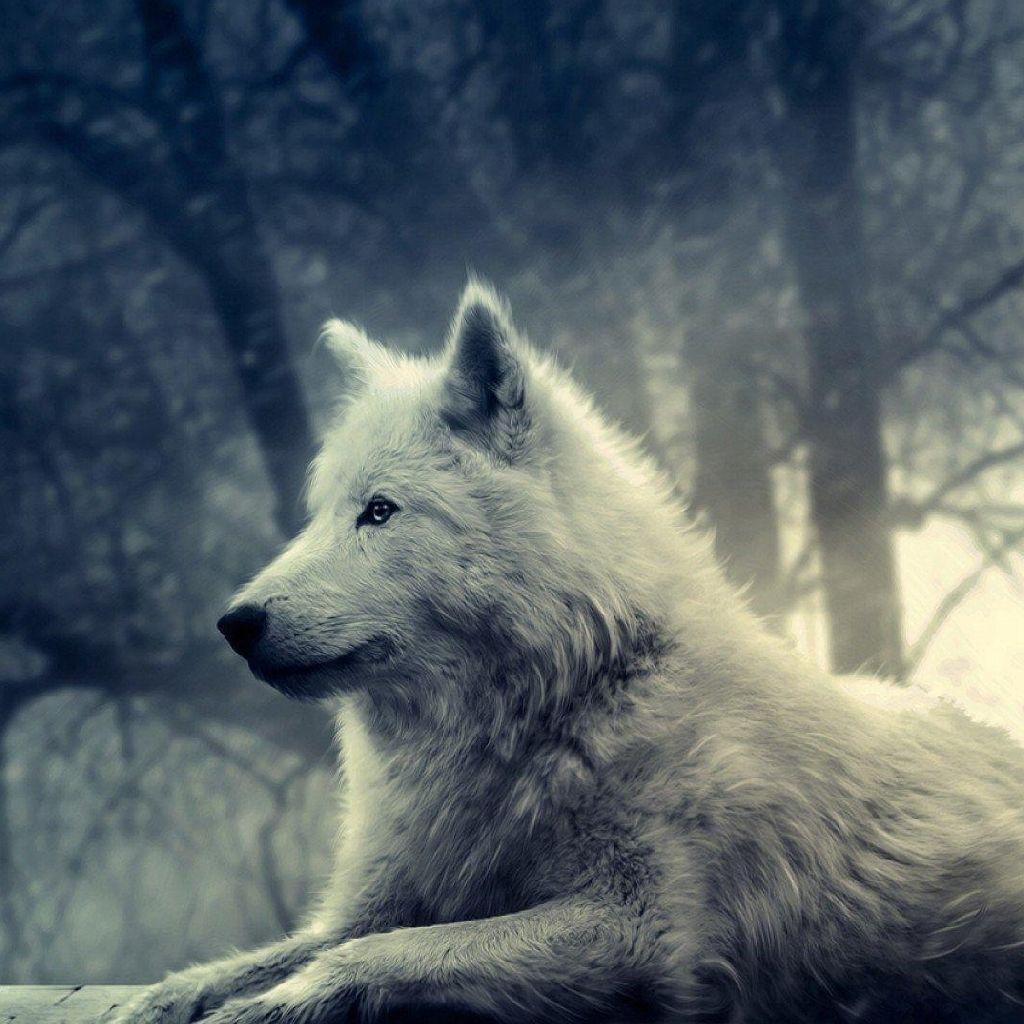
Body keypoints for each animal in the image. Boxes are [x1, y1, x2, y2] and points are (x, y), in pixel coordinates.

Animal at [115, 283, 1024, 1023]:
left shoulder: (640, 931)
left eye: (379, 511)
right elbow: (254, 961)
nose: (234, 623)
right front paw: (166, 1000)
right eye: (319, 515)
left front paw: (269, 1006)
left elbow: (373, 956)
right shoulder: (380, 899)